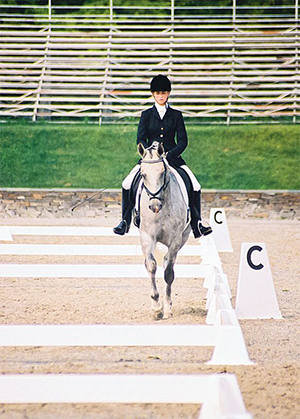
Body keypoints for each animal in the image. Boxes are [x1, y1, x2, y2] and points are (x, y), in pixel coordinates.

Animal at [138, 141, 191, 318]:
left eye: (162, 173)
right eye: (143, 174)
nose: (154, 206)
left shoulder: (175, 240)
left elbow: (168, 273)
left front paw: (167, 308)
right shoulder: (147, 237)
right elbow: (151, 266)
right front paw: (156, 307)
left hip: (183, 238)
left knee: (169, 261)